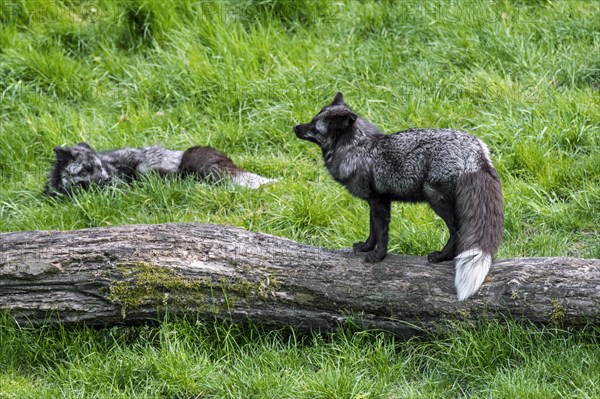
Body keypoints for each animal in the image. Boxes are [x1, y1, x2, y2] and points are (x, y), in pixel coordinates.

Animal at [292, 93, 504, 300]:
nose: (294, 127)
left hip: (435, 198)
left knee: (456, 229)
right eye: (313, 119)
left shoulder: (379, 201)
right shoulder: (376, 201)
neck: (359, 148)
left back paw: (442, 256)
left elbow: (381, 232)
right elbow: (372, 230)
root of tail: (476, 150)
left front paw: (378, 256)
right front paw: (366, 247)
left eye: (314, 126)